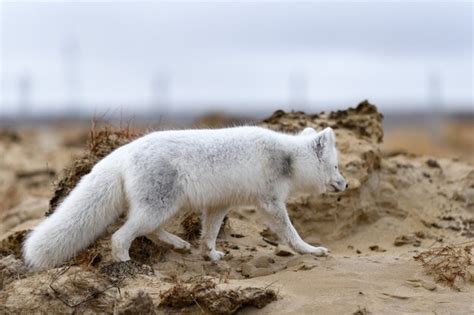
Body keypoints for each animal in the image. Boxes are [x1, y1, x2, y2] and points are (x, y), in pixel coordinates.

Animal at [22, 126, 346, 270]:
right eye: (336, 166)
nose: (344, 184)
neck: (286, 157)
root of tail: (123, 152)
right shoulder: (270, 202)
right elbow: (290, 232)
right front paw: (310, 250)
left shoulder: (219, 205)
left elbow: (210, 233)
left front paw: (210, 254)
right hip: (159, 206)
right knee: (121, 236)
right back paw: (128, 264)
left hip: (158, 208)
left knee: (150, 232)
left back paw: (179, 245)